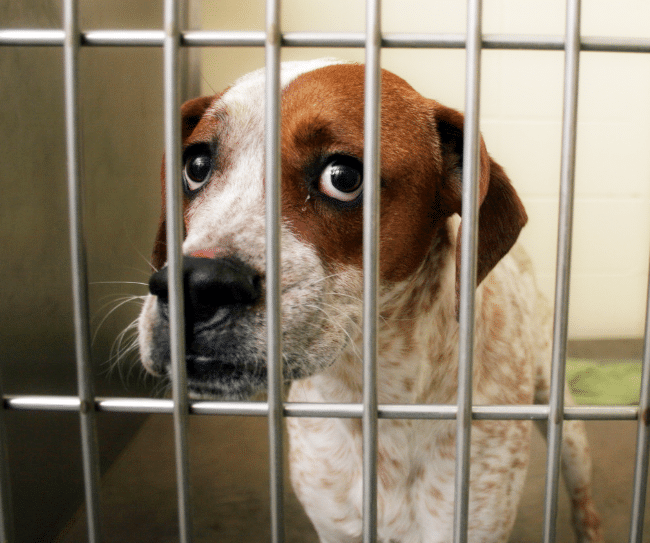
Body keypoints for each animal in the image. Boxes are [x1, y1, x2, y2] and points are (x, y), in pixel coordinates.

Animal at [137, 57, 604, 540]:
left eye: (342, 177)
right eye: (196, 166)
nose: (194, 284)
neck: (376, 401)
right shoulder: (334, 525)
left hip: (569, 432)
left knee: (584, 504)